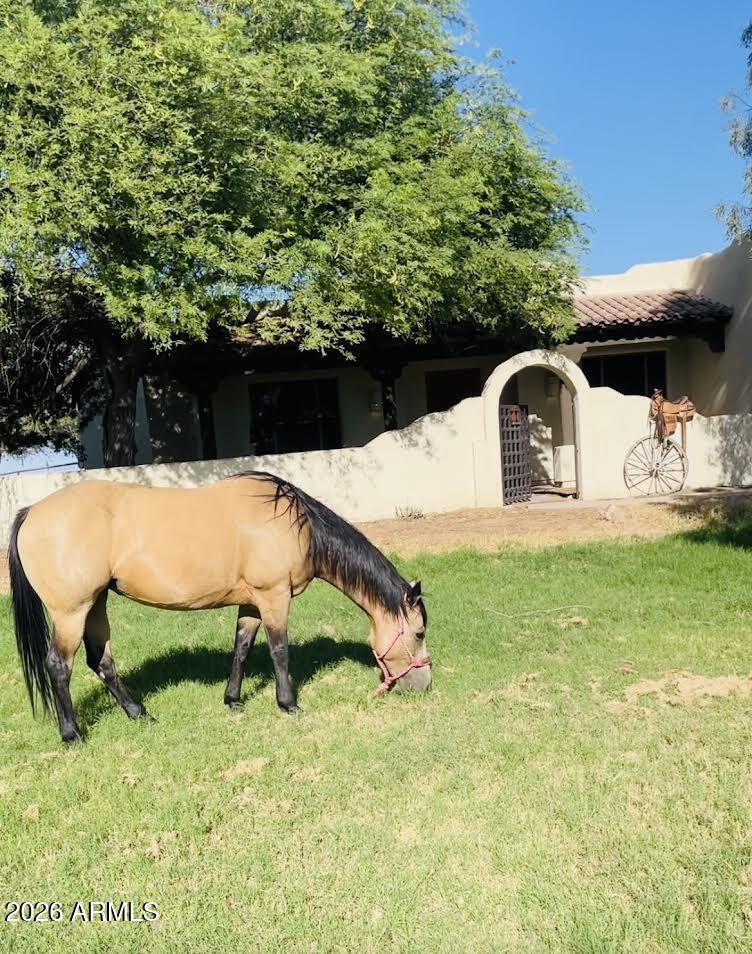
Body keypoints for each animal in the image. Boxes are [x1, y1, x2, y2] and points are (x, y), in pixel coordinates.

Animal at [8, 471, 430, 743]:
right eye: (419, 632)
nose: (423, 686)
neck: (298, 526)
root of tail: (32, 511)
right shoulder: (274, 597)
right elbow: (279, 651)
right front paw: (288, 704)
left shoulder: (252, 602)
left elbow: (242, 648)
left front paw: (233, 700)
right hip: (72, 611)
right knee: (59, 666)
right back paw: (72, 734)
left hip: (96, 603)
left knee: (102, 662)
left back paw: (140, 714)